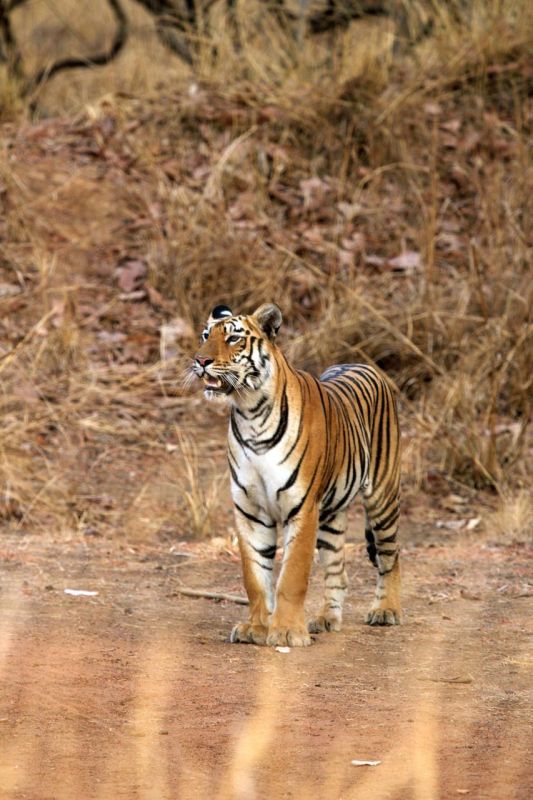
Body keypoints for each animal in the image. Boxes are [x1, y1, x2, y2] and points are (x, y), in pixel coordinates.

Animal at [191, 304, 400, 648]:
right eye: (206, 336)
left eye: (233, 338)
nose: (200, 361)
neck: (250, 412)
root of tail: (363, 364)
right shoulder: (251, 511)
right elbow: (255, 576)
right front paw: (256, 628)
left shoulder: (302, 507)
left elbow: (291, 576)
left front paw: (287, 632)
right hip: (331, 516)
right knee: (338, 571)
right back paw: (326, 619)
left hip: (382, 496)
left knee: (390, 555)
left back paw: (386, 610)